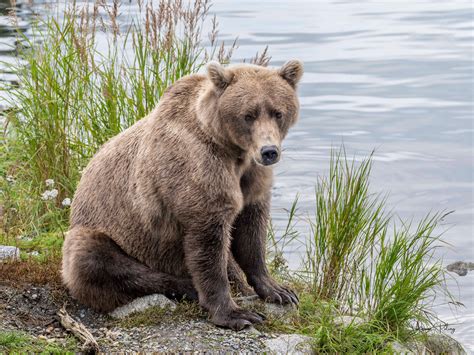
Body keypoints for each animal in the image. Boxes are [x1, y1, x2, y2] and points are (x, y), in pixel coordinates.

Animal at [62, 59, 304, 330]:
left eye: (278, 112)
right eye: (248, 115)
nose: (269, 151)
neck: (232, 150)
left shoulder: (251, 178)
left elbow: (251, 231)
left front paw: (279, 290)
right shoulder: (196, 169)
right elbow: (208, 243)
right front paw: (235, 313)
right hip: (108, 234)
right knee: (94, 258)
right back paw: (186, 286)